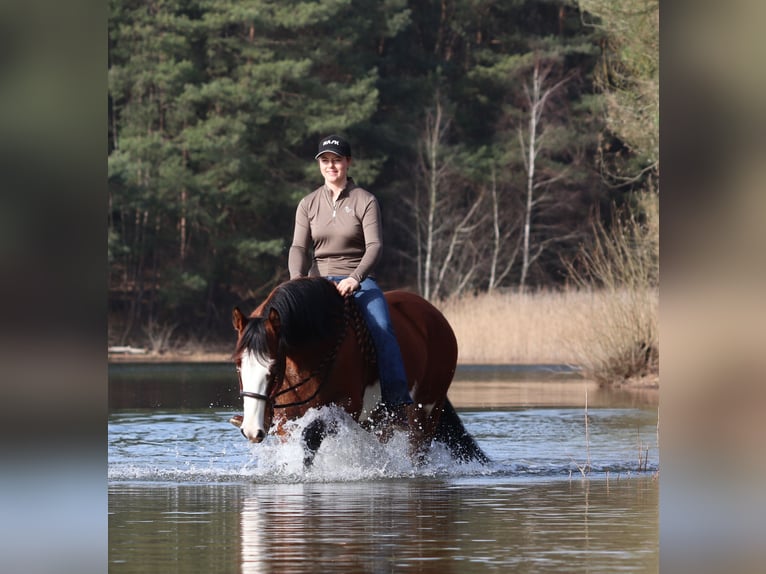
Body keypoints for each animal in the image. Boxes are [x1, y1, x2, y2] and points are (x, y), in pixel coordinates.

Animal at [230, 277, 489, 467]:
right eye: (238, 364)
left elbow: (310, 437)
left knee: (419, 449)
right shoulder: (286, 417)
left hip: (426, 411)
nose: (252, 429)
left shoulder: (345, 408)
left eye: (273, 367)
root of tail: (437, 318)